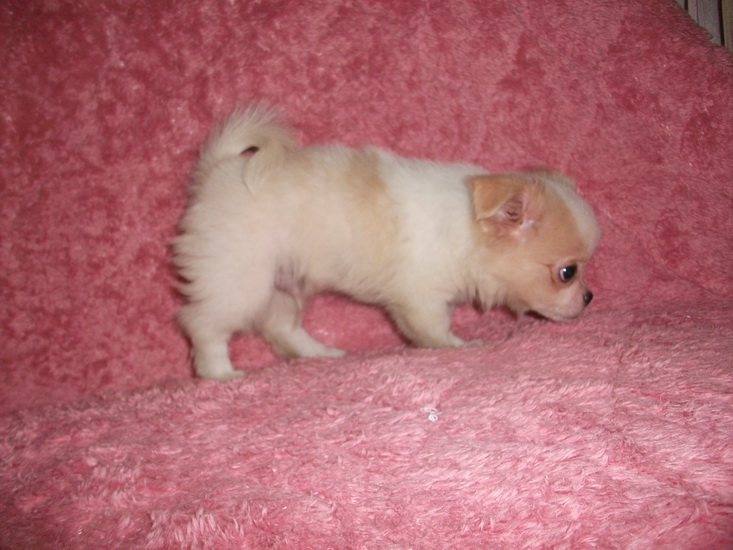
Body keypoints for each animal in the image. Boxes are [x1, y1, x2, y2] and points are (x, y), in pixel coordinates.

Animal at [173, 105, 600, 380]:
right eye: (567, 272)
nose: (590, 297)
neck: (466, 227)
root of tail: (219, 169)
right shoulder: (421, 296)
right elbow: (434, 329)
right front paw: (460, 347)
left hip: (284, 284)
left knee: (282, 329)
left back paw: (320, 355)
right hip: (240, 280)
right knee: (203, 323)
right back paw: (219, 373)